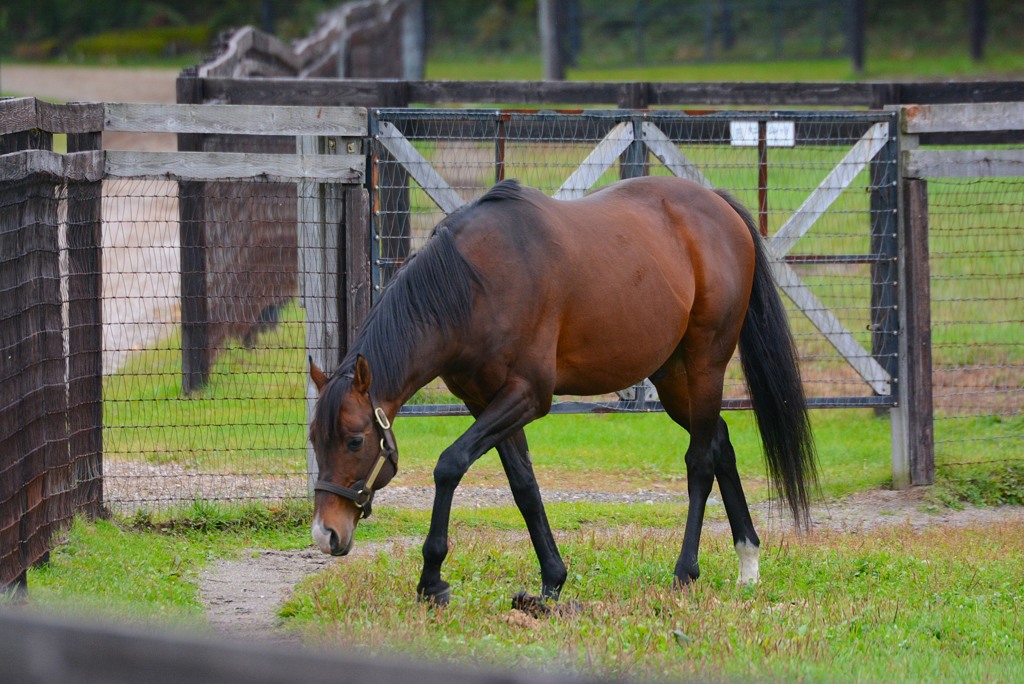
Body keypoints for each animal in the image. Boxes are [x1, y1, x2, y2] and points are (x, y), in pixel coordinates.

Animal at [303, 174, 815, 606]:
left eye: (355, 440)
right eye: (315, 441)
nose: (326, 534)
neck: (473, 285)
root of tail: (718, 206)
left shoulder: (528, 396)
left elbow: (449, 465)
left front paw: (432, 581)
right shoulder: (484, 402)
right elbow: (524, 486)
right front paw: (552, 580)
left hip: (706, 366)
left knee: (701, 461)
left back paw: (685, 571)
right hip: (673, 379)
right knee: (721, 443)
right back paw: (748, 562)